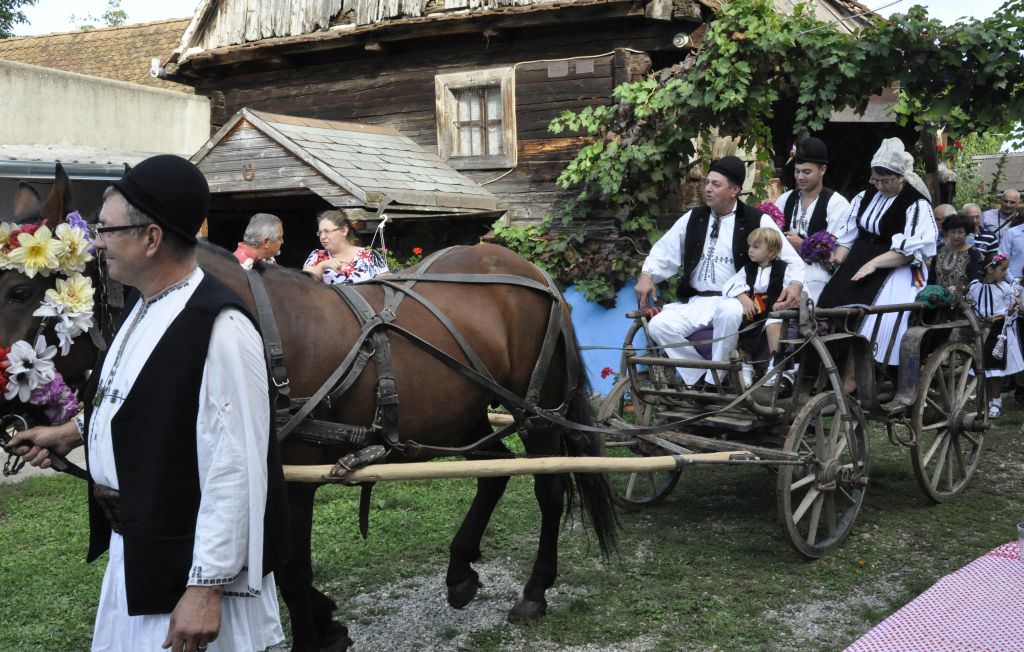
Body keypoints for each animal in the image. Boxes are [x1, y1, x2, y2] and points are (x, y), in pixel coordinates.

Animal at [2, 168, 614, 650]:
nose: (12, 417)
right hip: (456, 415)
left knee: (548, 486)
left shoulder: (288, 473)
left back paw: (534, 591)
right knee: (495, 471)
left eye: (18, 292)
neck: (254, 323)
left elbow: (292, 567)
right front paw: (327, 617)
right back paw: (461, 568)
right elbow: (285, 567)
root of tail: (531, 271)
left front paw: (318, 631)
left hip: (537, 410)